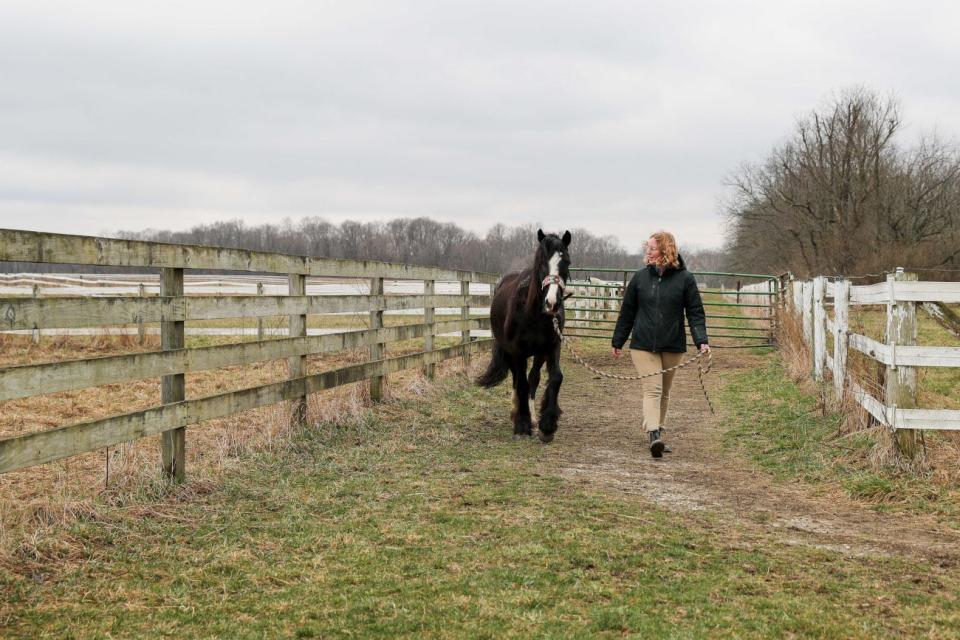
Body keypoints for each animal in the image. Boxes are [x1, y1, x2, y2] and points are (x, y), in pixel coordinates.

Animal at [474, 228, 568, 442]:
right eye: (541, 262)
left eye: (566, 262)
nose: (552, 303)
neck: (533, 314)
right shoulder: (517, 352)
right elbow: (522, 384)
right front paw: (522, 424)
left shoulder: (551, 347)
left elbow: (555, 377)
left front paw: (547, 425)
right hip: (509, 352)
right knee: (518, 381)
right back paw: (517, 413)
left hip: (538, 354)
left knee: (533, 378)